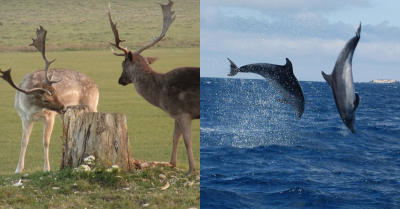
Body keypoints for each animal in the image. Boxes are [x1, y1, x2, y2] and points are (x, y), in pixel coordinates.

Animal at [0, 26, 99, 173]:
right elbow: (24, 142)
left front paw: (47, 168)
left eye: (55, 92)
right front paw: (18, 169)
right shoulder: (24, 118)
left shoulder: (50, 116)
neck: (32, 111)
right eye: (45, 99)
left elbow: (46, 142)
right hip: (66, 114)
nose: (63, 107)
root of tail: (96, 85)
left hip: (91, 104)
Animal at [108, 0, 200, 174]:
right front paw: (171, 163)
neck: (160, 94)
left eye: (123, 63)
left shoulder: (183, 112)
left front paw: (192, 170)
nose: (120, 80)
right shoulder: (176, 114)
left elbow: (187, 141)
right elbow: (174, 138)